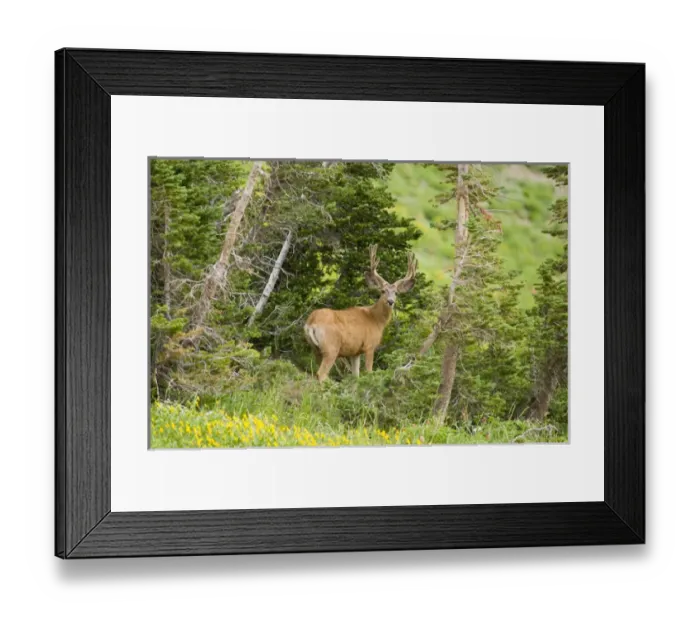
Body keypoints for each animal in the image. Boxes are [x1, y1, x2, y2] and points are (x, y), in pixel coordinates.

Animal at [304, 245, 418, 382]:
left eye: (396, 293)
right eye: (382, 291)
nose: (390, 302)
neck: (375, 319)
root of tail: (311, 322)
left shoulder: (355, 352)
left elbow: (356, 376)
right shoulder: (369, 346)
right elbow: (368, 372)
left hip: (315, 348)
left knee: (315, 373)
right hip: (331, 347)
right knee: (321, 374)